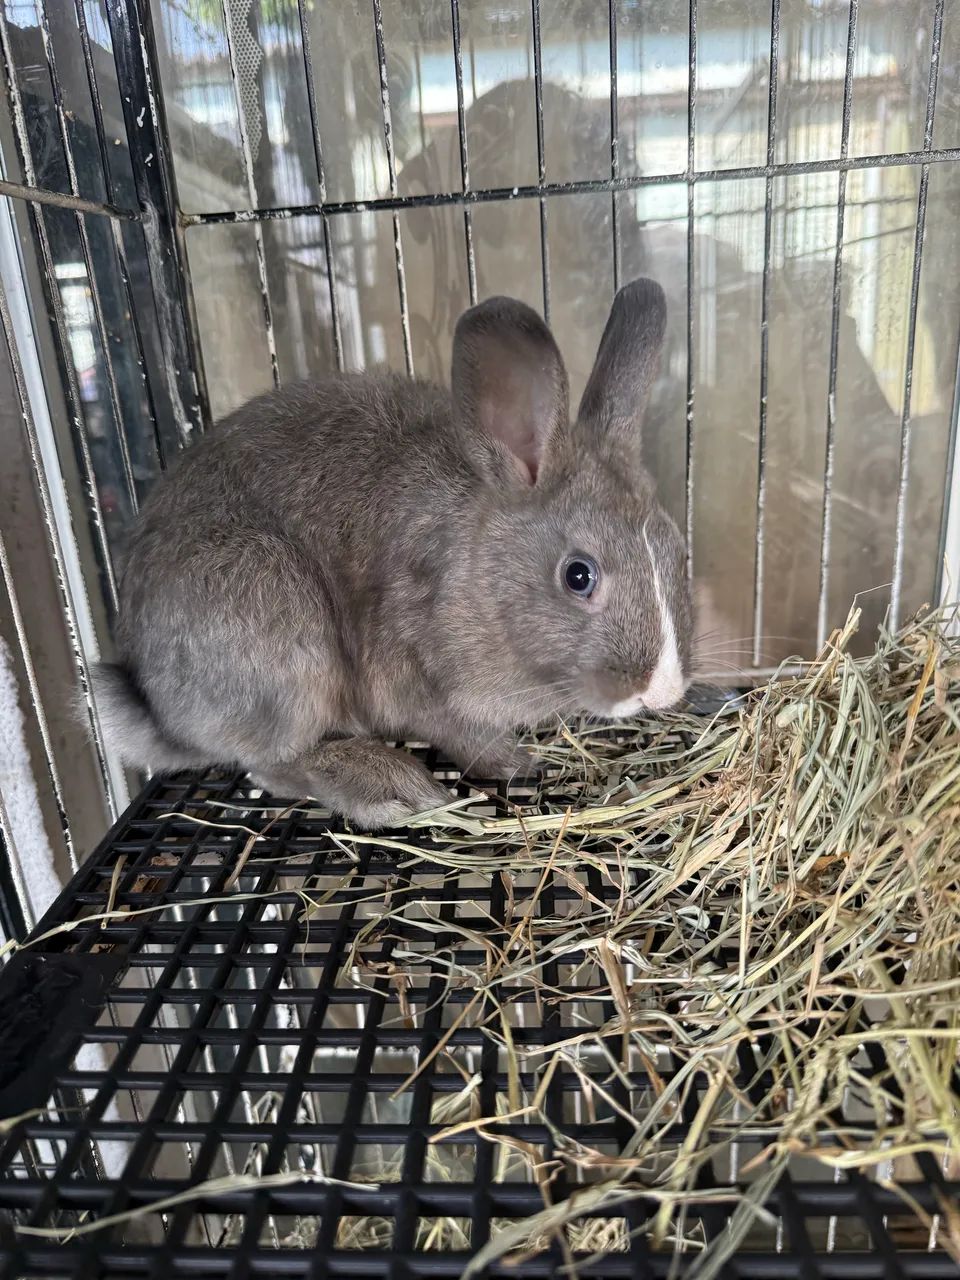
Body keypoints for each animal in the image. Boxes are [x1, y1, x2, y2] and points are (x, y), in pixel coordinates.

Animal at [91, 278, 693, 828]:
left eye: (679, 553)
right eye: (578, 575)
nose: (661, 692)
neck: (481, 579)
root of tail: (158, 710)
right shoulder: (419, 678)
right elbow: (463, 735)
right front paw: (516, 763)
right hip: (281, 635)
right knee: (278, 763)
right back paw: (392, 788)